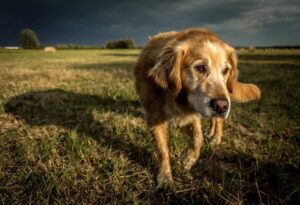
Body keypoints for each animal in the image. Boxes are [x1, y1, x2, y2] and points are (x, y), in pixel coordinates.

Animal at [134, 28, 260, 183]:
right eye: (200, 68)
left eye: (225, 70)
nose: (222, 106)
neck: (176, 97)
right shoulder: (155, 116)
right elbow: (161, 148)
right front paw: (165, 176)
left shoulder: (193, 115)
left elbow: (197, 139)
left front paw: (188, 160)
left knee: (218, 120)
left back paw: (215, 137)